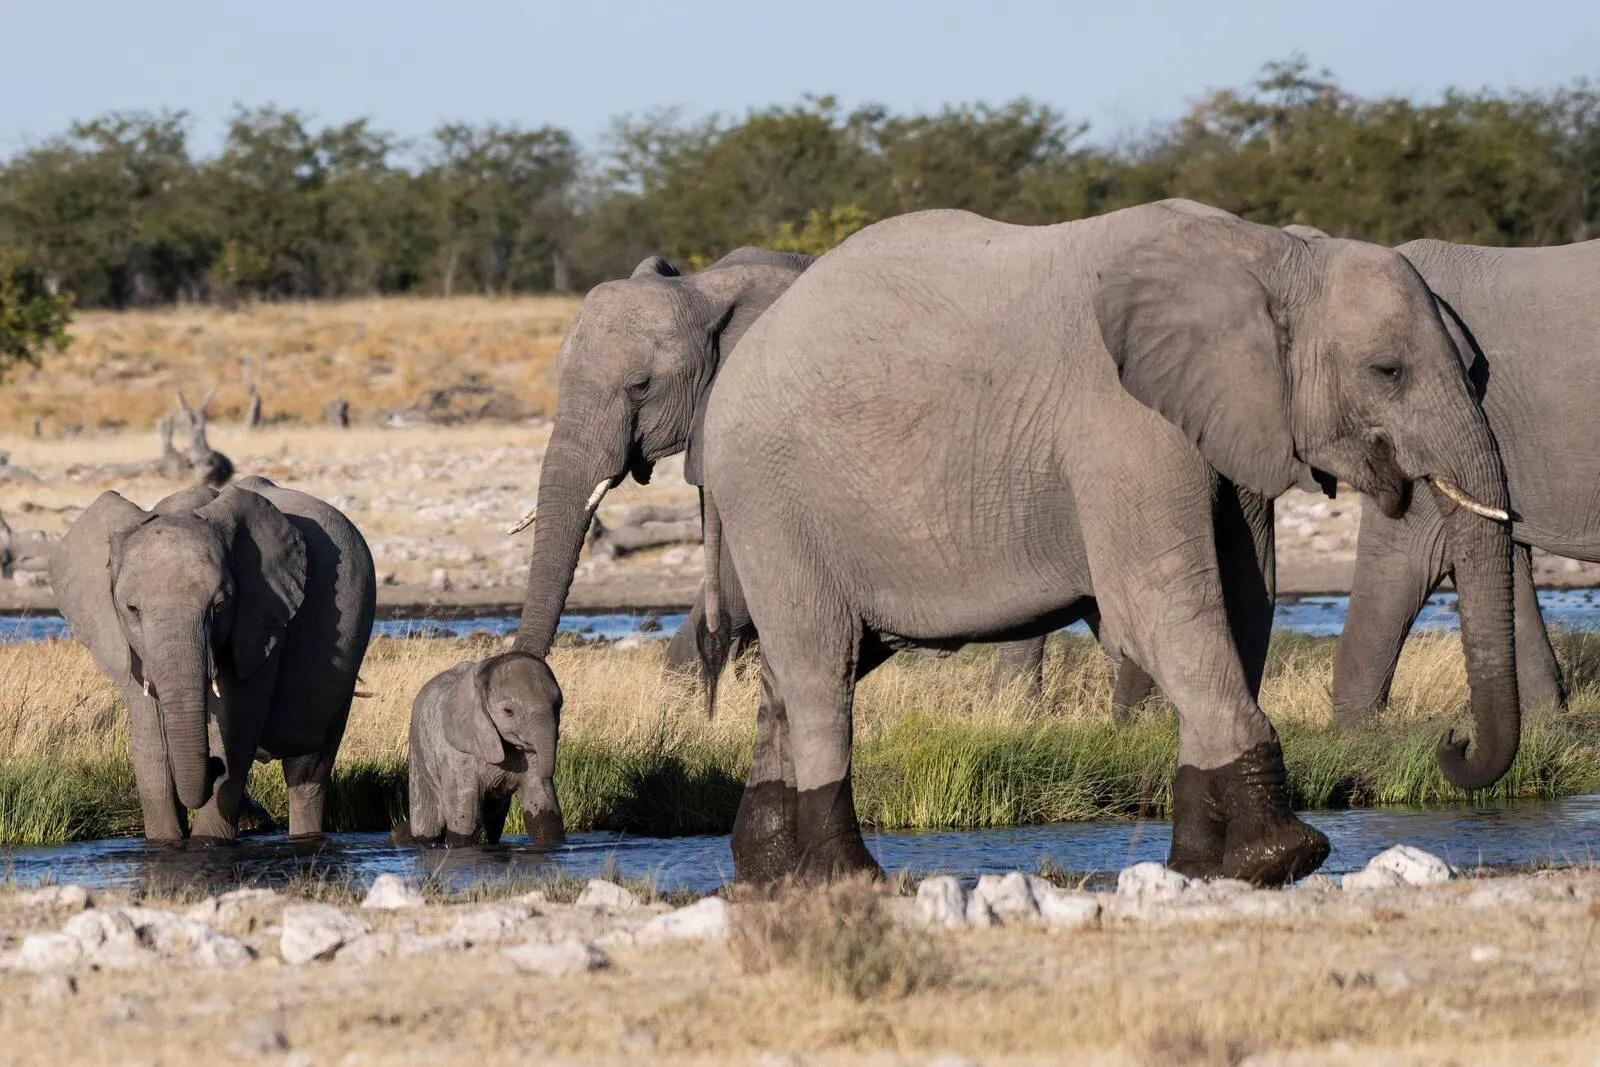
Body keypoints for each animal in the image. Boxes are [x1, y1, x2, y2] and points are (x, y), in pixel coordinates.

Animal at [50, 476, 377, 844]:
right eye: (131, 609)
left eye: (220, 606)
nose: (212, 765)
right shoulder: (127, 641)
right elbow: (151, 743)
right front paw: (166, 843)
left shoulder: (261, 617)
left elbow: (234, 732)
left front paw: (208, 843)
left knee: (308, 771)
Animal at [403, 655, 566, 844]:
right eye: (508, 712)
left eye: (558, 706)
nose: (549, 774)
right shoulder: (458, 755)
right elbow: (465, 823)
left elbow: (544, 815)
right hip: (418, 756)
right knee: (428, 825)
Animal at [704, 198, 1523, 883]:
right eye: (1388, 370)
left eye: (1474, 368)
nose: (1451, 742)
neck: (1272, 253)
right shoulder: (1122, 421)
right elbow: (1161, 611)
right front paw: (1281, 858)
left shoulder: (1226, 420)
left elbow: (1245, 607)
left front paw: (1202, 866)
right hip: (772, 498)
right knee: (822, 667)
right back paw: (848, 877)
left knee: (792, 676)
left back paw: (772, 875)